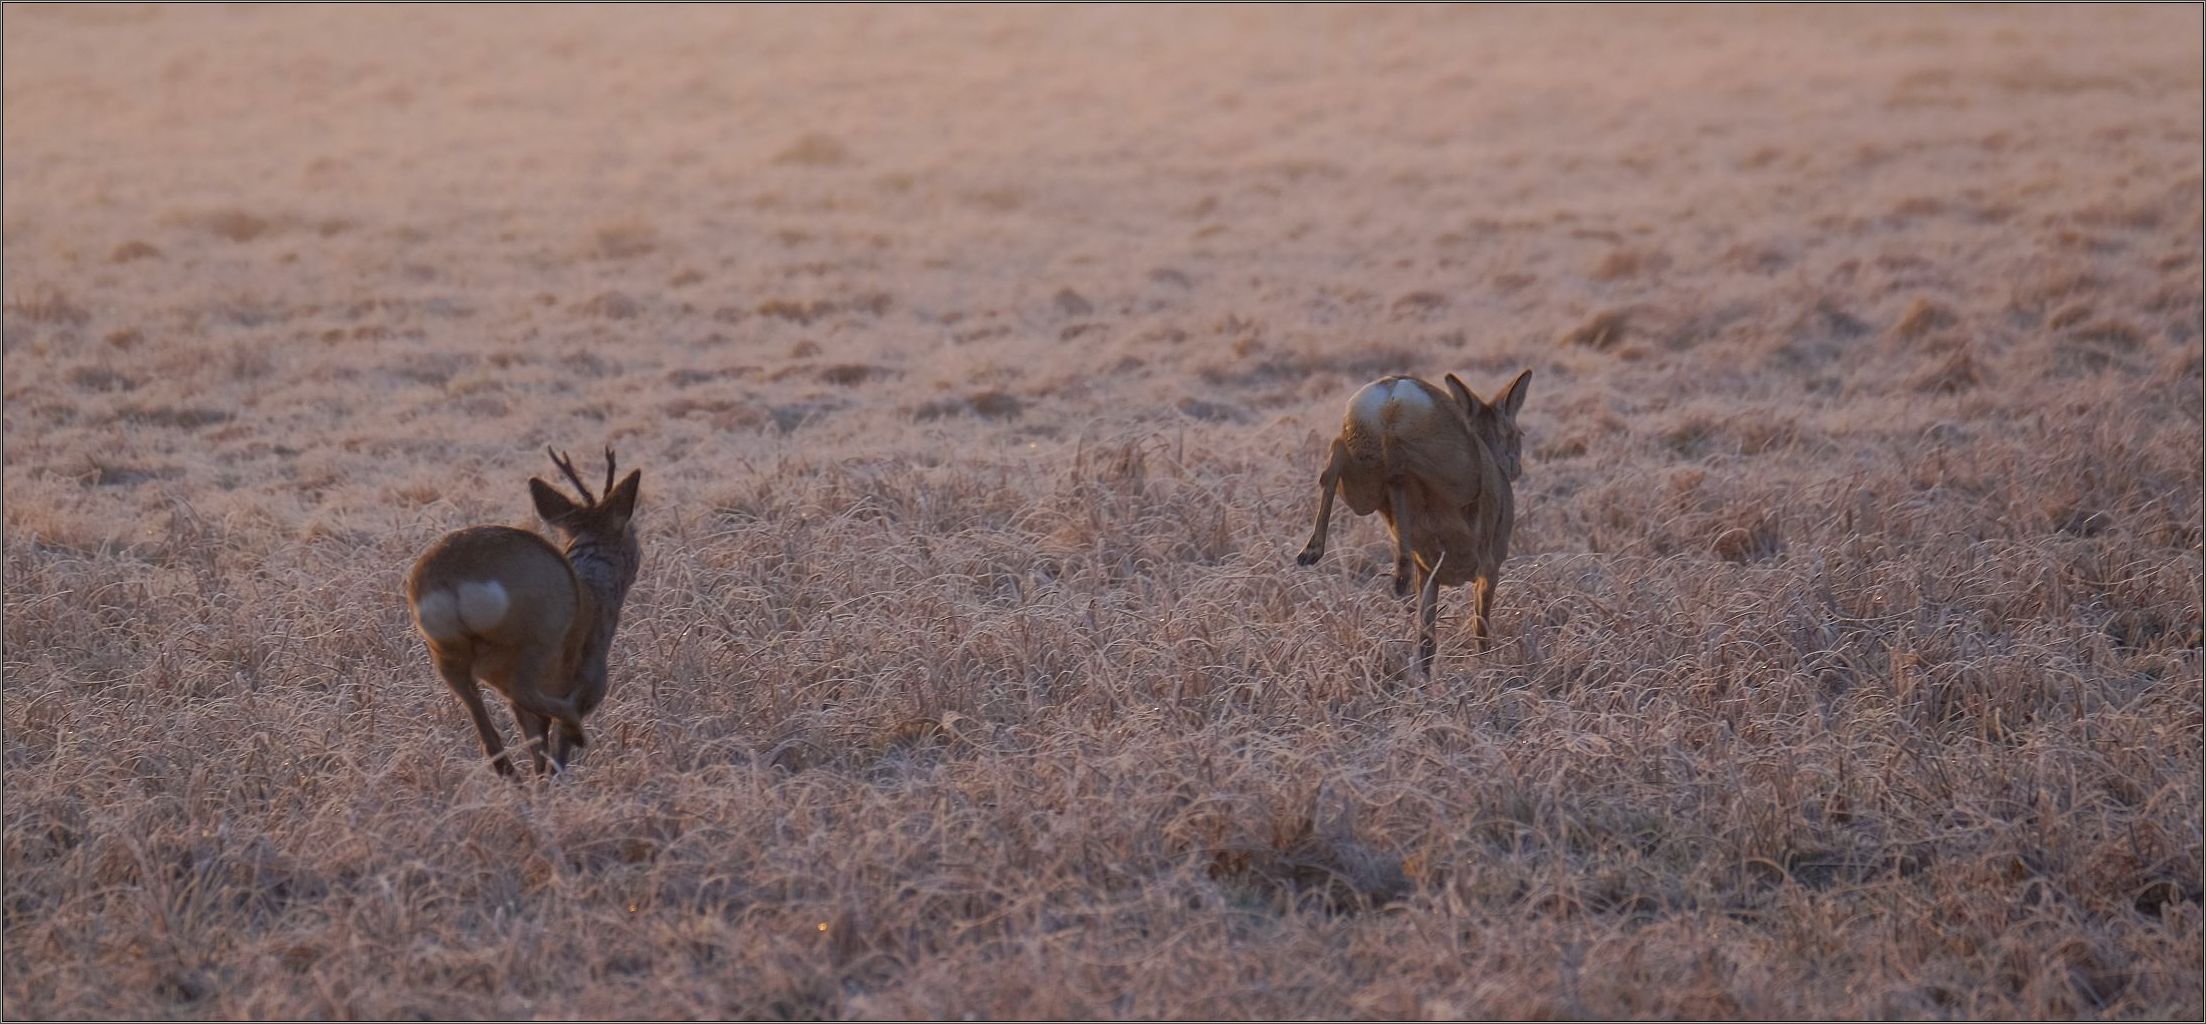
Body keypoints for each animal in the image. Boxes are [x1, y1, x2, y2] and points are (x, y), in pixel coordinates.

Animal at [408, 448, 644, 776]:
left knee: (489, 732)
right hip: (538, 631)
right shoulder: (591, 674)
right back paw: (576, 731)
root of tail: (451, 577)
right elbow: (555, 745)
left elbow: (537, 742)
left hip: (444, 649)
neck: (597, 589)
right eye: (633, 535)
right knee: (526, 692)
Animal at [1288, 372, 1535, 675]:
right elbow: (1480, 627)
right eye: (1519, 434)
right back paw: (1398, 565)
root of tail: (1396, 388)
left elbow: (1426, 641)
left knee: (1338, 459)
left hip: (1364, 472)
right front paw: (1487, 666)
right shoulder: (1490, 566)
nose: (1517, 468)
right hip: (1458, 471)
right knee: (1400, 465)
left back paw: (1314, 552)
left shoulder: (1428, 574)